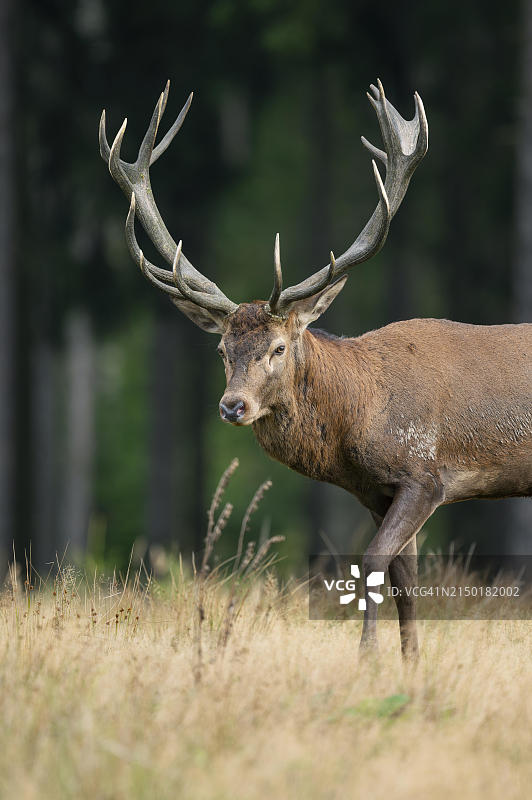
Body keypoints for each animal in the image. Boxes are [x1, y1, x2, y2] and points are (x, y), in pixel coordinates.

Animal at [101, 81, 532, 660]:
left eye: (279, 347)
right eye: (222, 350)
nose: (232, 405)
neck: (362, 414)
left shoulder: (425, 474)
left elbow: (372, 562)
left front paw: (368, 656)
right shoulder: (377, 491)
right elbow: (406, 579)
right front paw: (410, 661)